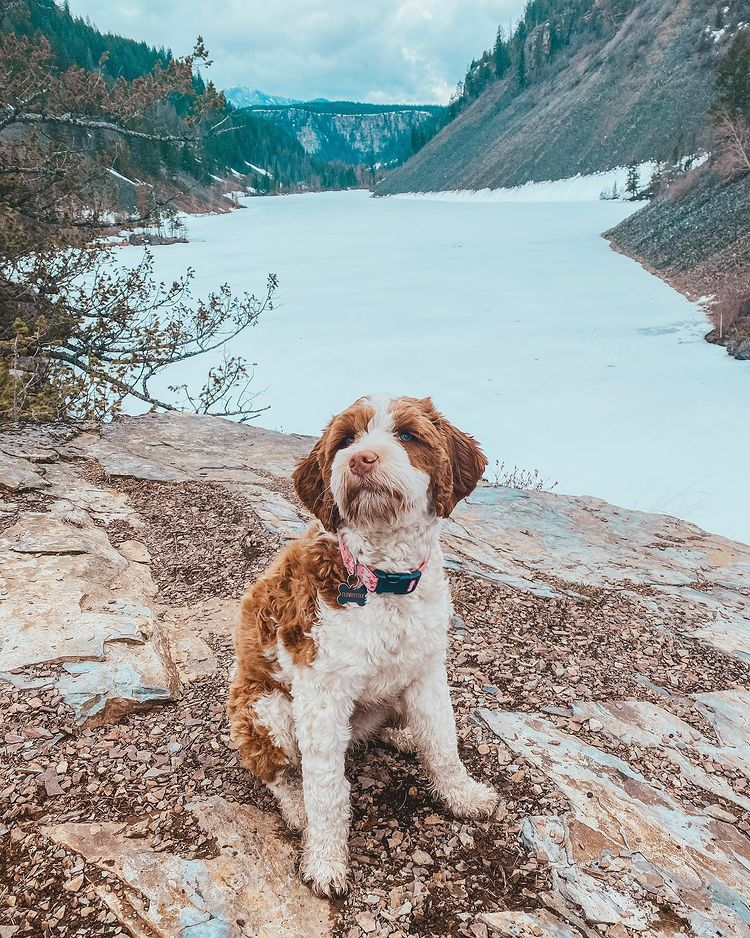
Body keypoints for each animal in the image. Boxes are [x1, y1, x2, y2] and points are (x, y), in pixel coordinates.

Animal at [228, 394, 500, 892]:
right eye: (345, 440)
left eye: (408, 435)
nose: (360, 459)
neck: (384, 582)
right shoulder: (320, 693)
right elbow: (326, 790)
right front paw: (325, 861)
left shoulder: (427, 670)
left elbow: (443, 743)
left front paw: (463, 795)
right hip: (262, 709)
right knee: (277, 771)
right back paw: (295, 806)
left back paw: (403, 735)